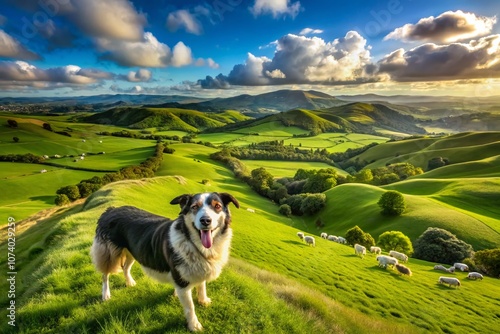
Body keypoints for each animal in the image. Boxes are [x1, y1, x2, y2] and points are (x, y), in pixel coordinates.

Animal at [91, 192, 240, 330]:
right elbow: (190, 306)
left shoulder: (198, 269)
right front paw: (194, 325)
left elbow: (201, 285)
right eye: (194, 207)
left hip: (132, 251)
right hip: (109, 253)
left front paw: (203, 301)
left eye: (217, 206)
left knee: (125, 267)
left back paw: (130, 282)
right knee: (105, 275)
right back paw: (106, 294)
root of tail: (110, 210)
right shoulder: (181, 281)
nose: (205, 221)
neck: (193, 243)